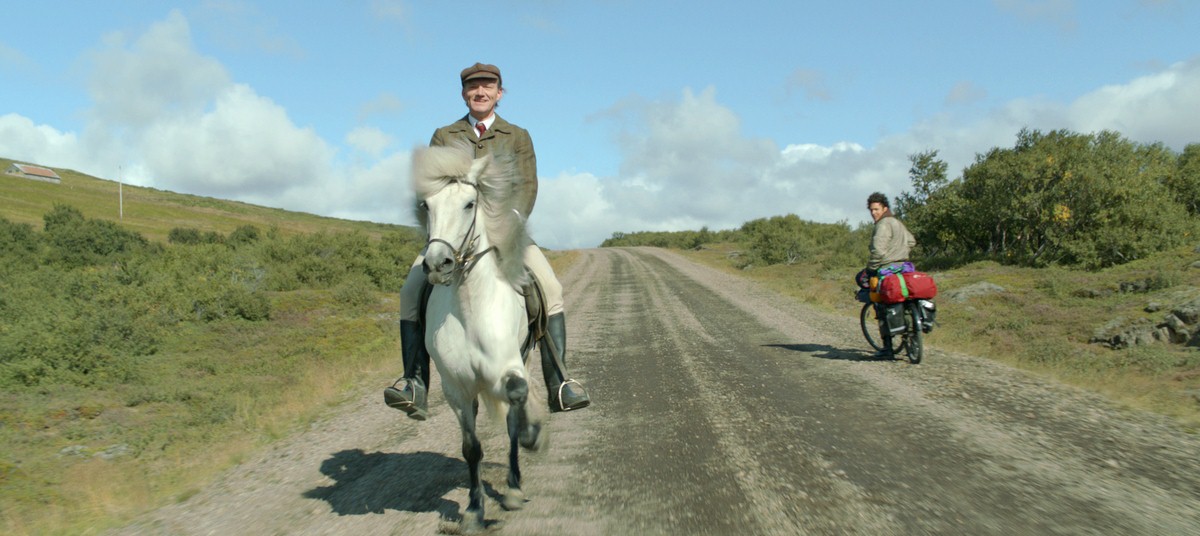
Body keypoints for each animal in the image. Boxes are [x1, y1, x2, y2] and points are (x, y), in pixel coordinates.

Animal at [412, 143, 544, 532]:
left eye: (470, 203)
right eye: (426, 205)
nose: (437, 264)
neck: (471, 308)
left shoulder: (511, 367)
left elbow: (516, 406)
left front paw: (531, 440)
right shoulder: (456, 388)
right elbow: (471, 448)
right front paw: (473, 510)